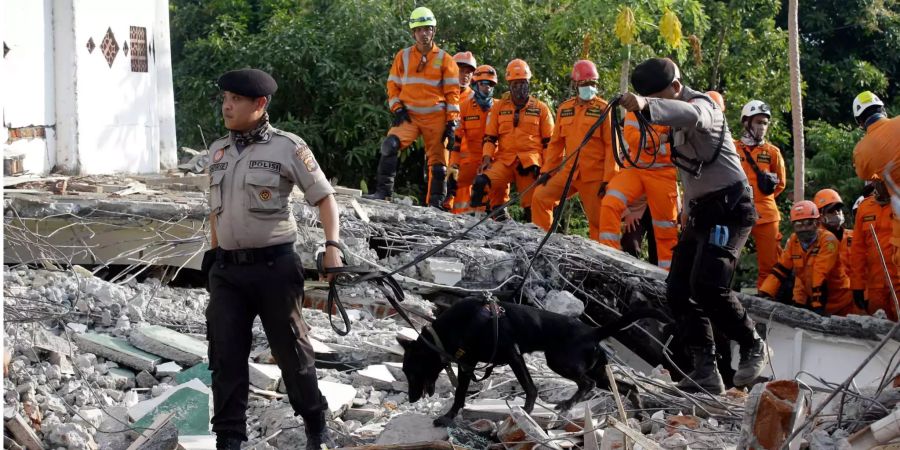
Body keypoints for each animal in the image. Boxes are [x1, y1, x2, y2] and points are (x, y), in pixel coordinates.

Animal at [398, 298, 672, 426]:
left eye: (411, 373)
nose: (411, 399)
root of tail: (593, 332)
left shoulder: (513, 354)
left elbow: (530, 387)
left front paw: (526, 413)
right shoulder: (467, 365)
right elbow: (459, 396)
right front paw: (449, 416)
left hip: (560, 362)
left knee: (587, 384)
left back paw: (568, 403)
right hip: (600, 372)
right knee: (629, 387)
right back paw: (638, 413)